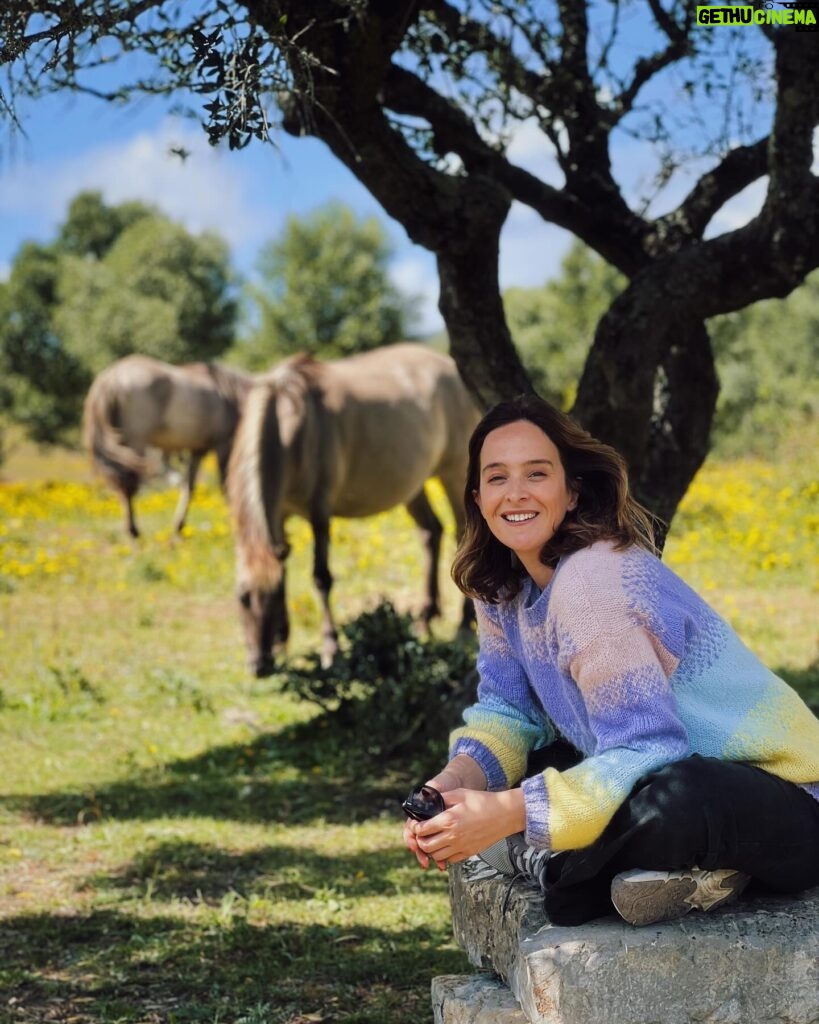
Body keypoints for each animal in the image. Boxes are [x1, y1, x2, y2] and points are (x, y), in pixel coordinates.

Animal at [82, 354, 252, 536]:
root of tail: (111, 378)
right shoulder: (223, 444)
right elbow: (227, 486)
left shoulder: (197, 451)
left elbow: (189, 487)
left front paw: (179, 526)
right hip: (134, 443)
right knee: (127, 482)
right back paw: (133, 530)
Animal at [225, 344, 479, 679]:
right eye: (242, 598)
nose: (260, 666)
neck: (287, 422)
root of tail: (449, 365)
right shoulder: (279, 515)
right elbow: (283, 569)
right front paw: (283, 642)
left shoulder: (319, 511)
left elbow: (321, 578)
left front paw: (331, 650)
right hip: (413, 484)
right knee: (430, 532)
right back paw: (424, 619)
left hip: (454, 473)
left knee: (461, 536)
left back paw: (464, 624)